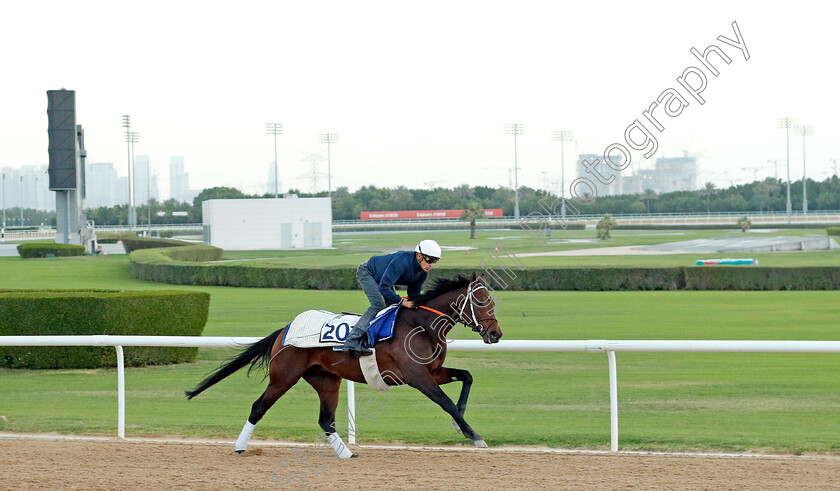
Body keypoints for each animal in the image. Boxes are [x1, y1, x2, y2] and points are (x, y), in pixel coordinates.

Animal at [185, 274, 498, 460]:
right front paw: (474, 436)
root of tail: (286, 328)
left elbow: (467, 377)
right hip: (284, 377)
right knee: (258, 407)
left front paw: (460, 426)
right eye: (481, 301)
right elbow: (446, 402)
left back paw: (346, 453)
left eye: (492, 301)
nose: (496, 334)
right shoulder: (417, 376)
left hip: (326, 380)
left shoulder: (432, 372)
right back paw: (240, 447)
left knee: (326, 420)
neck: (420, 326)